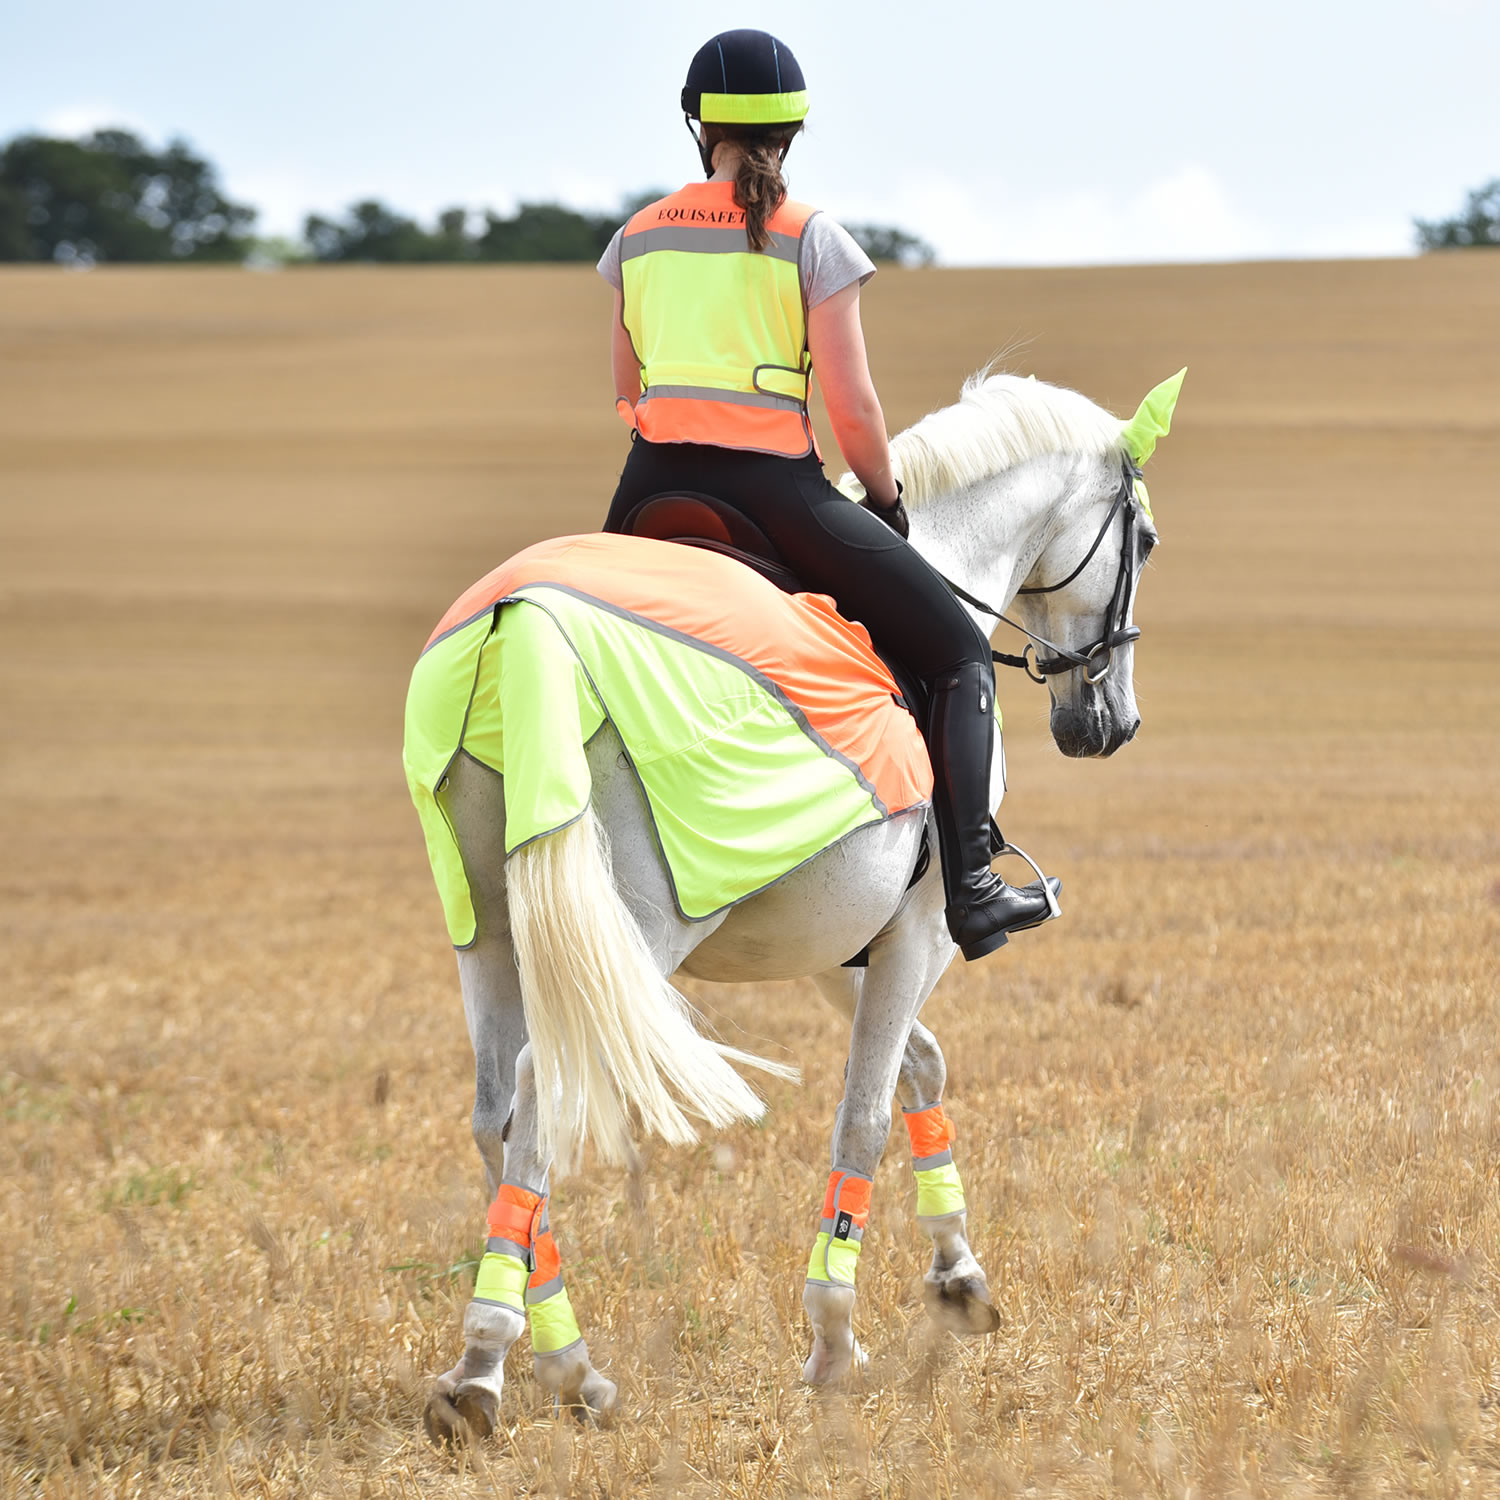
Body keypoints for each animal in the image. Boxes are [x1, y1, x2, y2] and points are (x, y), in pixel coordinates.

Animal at [414, 363, 1182, 1440]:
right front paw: (833, 1343)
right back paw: (496, 1366)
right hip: (627, 930)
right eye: (1143, 542)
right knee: (539, 1091)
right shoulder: (920, 929)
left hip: (488, 928)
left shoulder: (840, 943)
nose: (1109, 722)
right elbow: (864, 1114)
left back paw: (565, 1366)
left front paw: (958, 1275)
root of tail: (522, 624)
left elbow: (919, 1069)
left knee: (495, 1111)